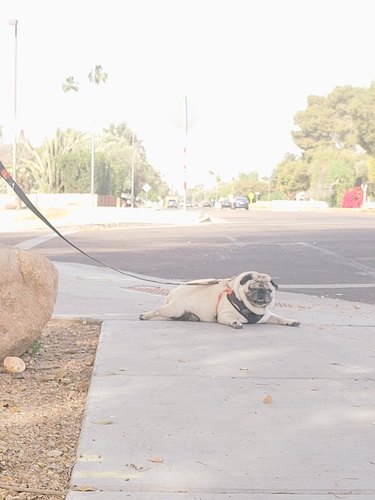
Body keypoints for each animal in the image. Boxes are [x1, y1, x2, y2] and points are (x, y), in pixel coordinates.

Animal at [140, 272, 302, 330]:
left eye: (269, 290)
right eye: (252, 288)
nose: (261, 293)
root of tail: (173, 291)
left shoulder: (267, 316)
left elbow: (280, 318)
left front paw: (291, 321)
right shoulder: (225, 315)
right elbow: (231, 319)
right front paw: (235, 323)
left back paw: (191, 317)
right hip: (174, 308)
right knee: (159, 311)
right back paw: (145, 315)